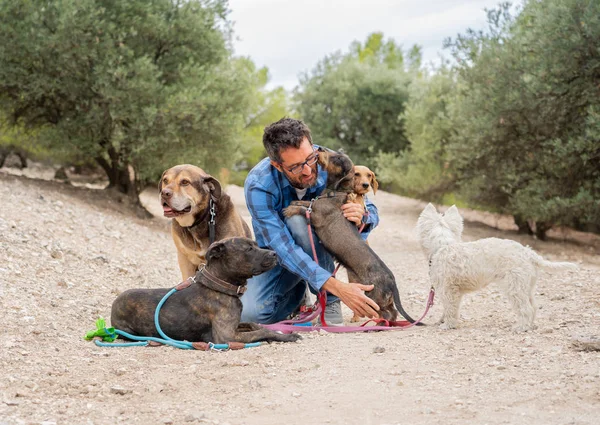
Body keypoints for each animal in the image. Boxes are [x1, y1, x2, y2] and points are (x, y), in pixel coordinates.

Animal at [110, 237, 302, 342]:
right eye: (249, 249)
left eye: (255, 245)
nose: (275, 254)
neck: (219, 286)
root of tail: (114, 305)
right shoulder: (226, 337)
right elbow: (262, 331)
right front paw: (287, 336)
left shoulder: (234, 326)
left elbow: (254, 325)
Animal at [282, 148, 414, 322]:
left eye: (338, 159)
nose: (319, 149)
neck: (334, 192)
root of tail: (392, 281)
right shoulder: (315, 203)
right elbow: (307, 202)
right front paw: (293, 203)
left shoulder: (317, 216)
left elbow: (304, 209)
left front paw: (291, 209)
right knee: (393, 313)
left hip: (373, 297)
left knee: (385, 313)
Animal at [418, 203, 576, 332]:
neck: (443, 246)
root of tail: (529, 253)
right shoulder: (454, 291)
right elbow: (450, 308)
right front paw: (442, 321)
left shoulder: (448, 290)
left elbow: (450, 307)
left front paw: (447, 325)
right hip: (526, 286)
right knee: (533, 306)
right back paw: (530, 325)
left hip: (514, 287)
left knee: (526, 308)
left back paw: (521, 327)